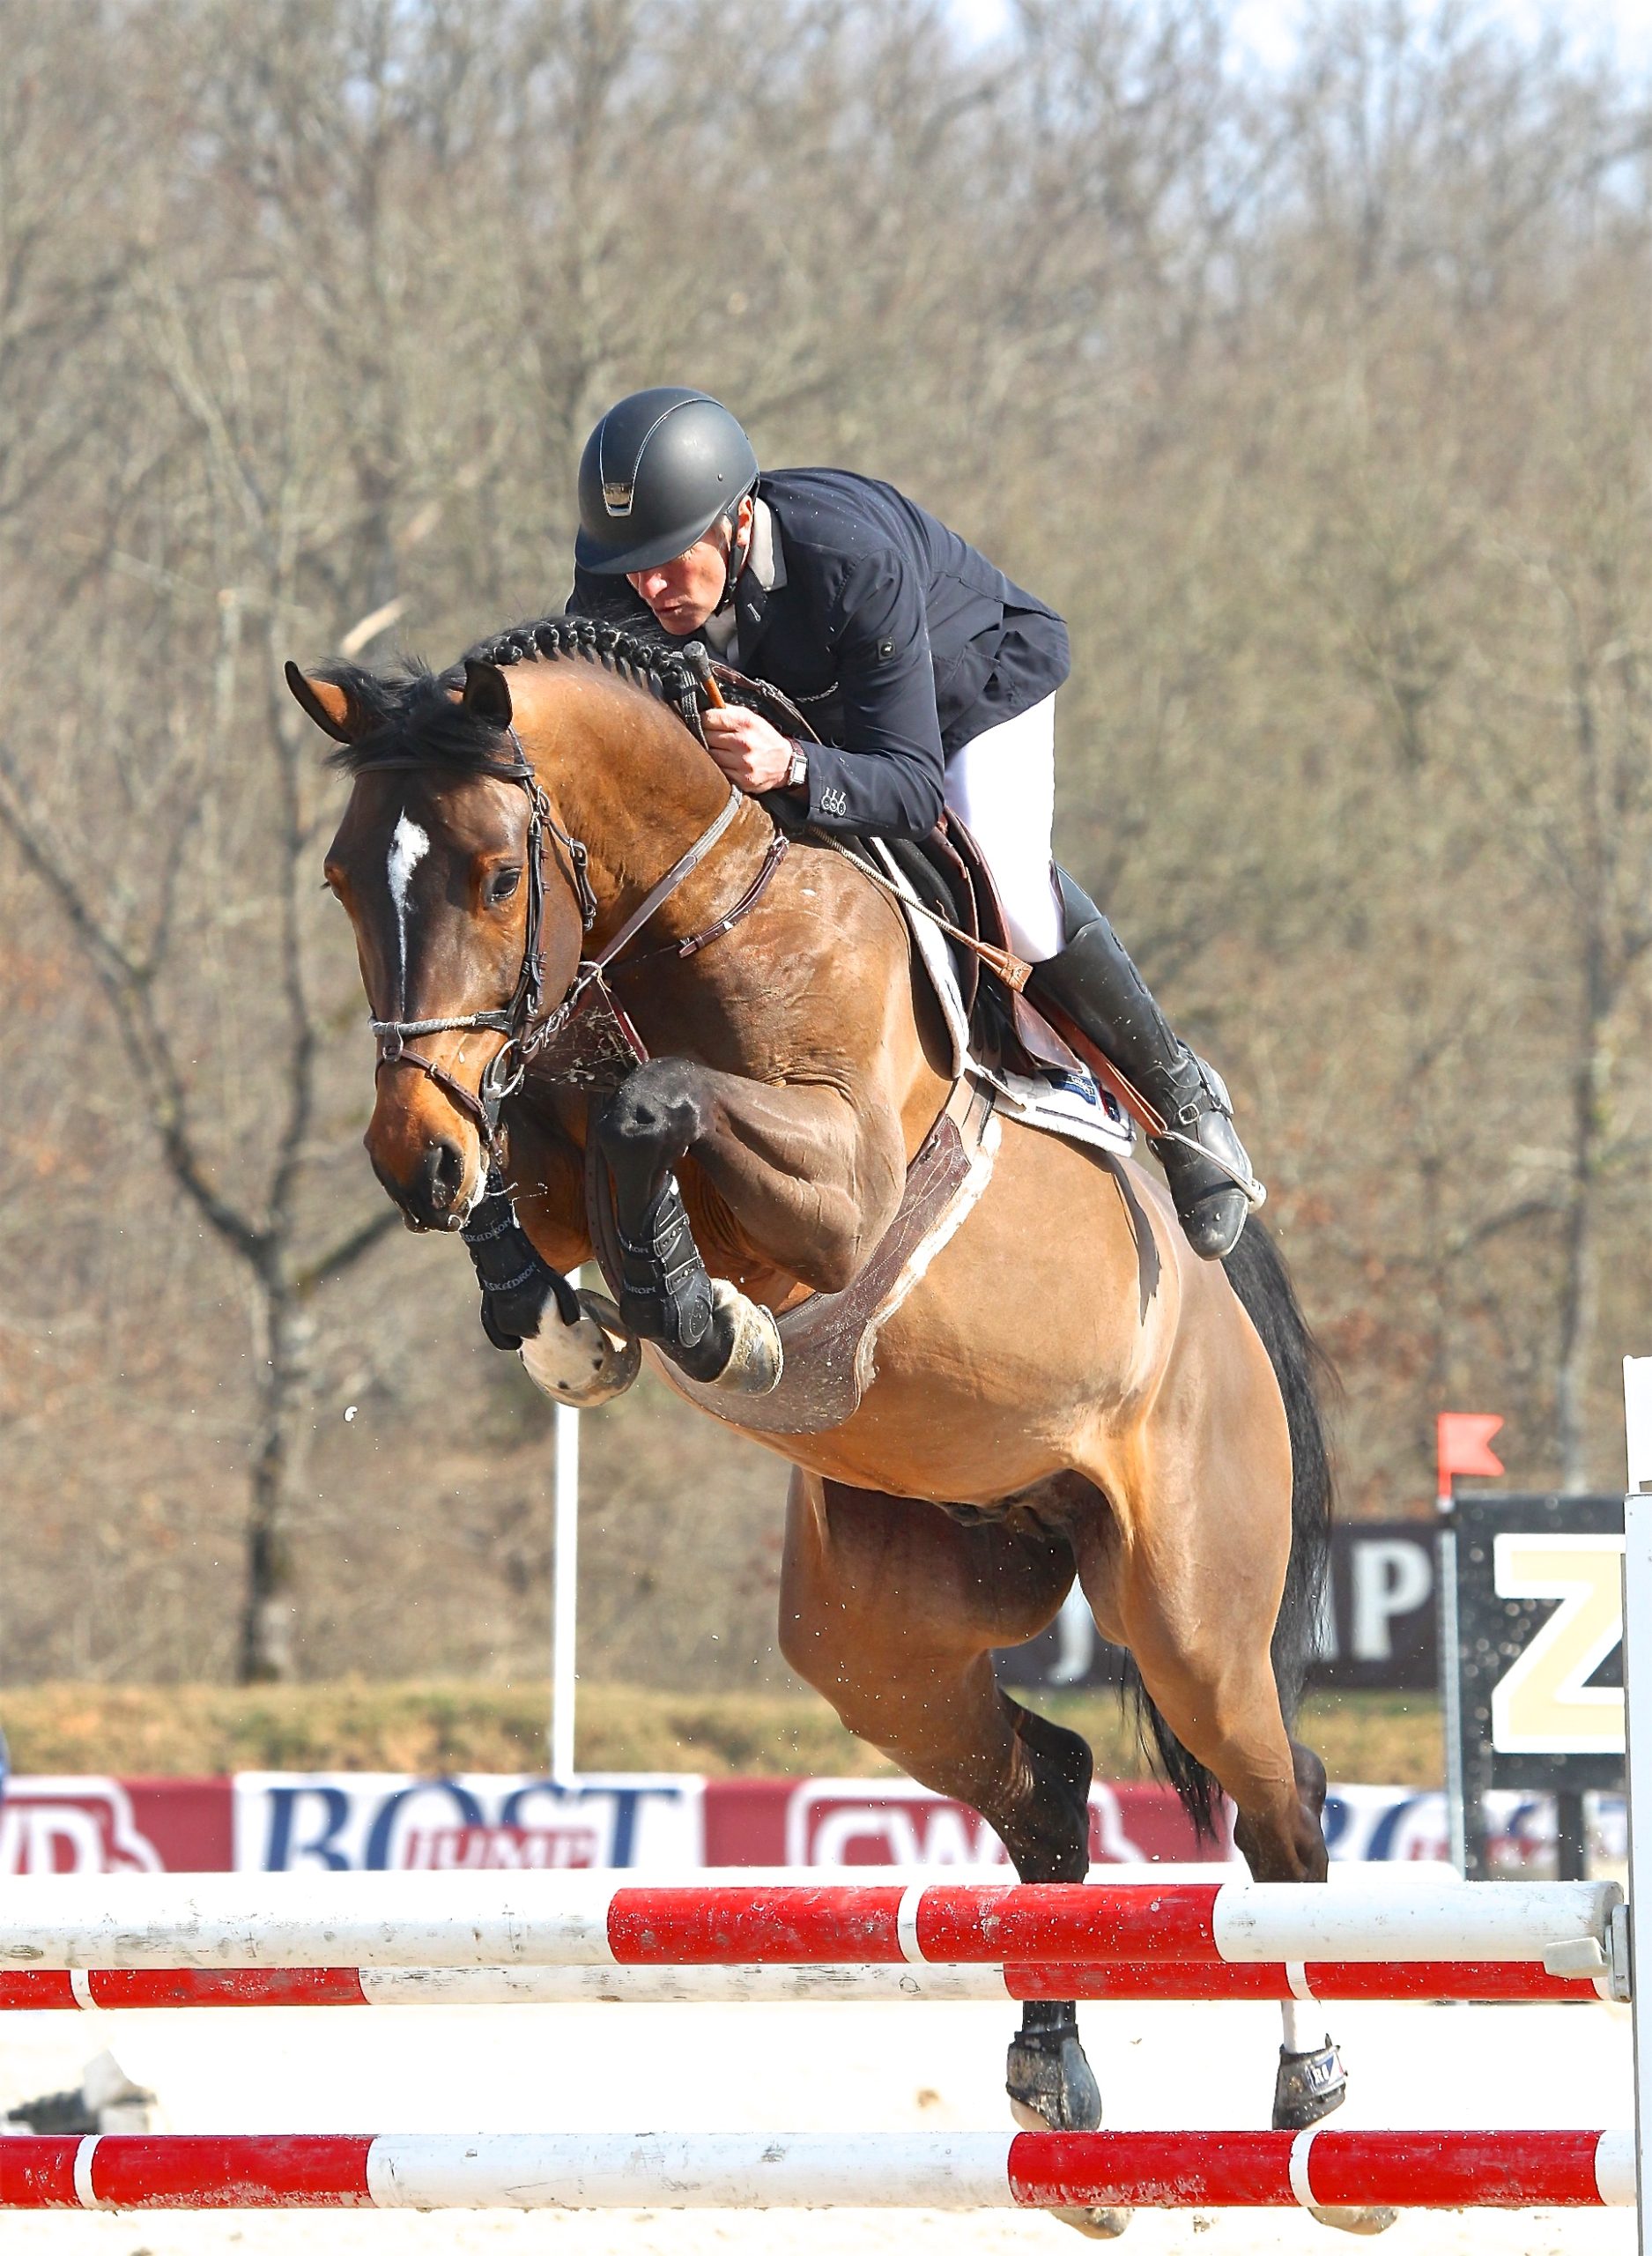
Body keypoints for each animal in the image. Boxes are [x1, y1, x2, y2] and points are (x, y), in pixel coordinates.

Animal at [293, 618, 1372, 2237]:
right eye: (346, 879)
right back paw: (1053, 2092)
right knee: (1047, 1787)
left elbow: (649, 1107)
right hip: (882, 1642)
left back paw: (1311, 2100)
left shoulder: (838, 1175)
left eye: (491, 876)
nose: (404, 1160)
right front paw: (569, 1328)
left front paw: (694, 1317)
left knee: (1278, 1806)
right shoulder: (536, 1117)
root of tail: (1216, 1304)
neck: (688, 920)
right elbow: (544, 1145)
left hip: (1186, 1610)